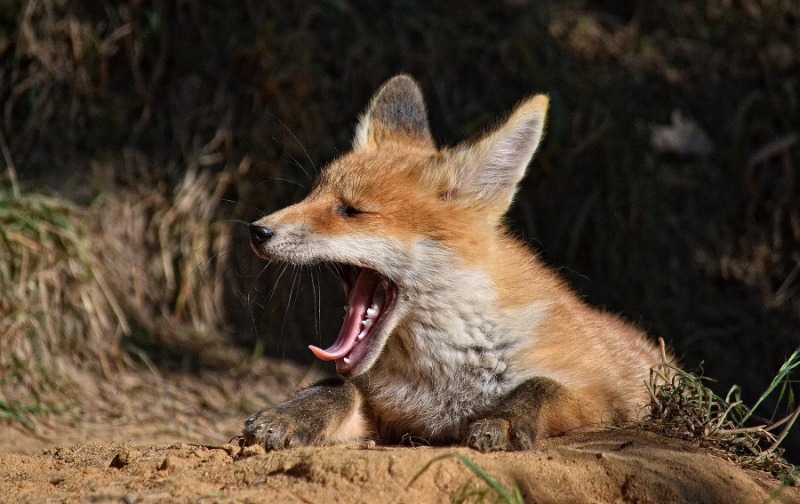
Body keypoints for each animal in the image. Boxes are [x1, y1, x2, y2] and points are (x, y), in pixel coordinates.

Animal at [245, 76, 668, 452]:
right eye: (312, 194)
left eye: (351, 211)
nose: (257, 230)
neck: (442, 373)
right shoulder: (389, 411)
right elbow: (338, 388)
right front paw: (290, 414)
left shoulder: (605, 398)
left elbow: (541, 386)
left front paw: (506, 420)